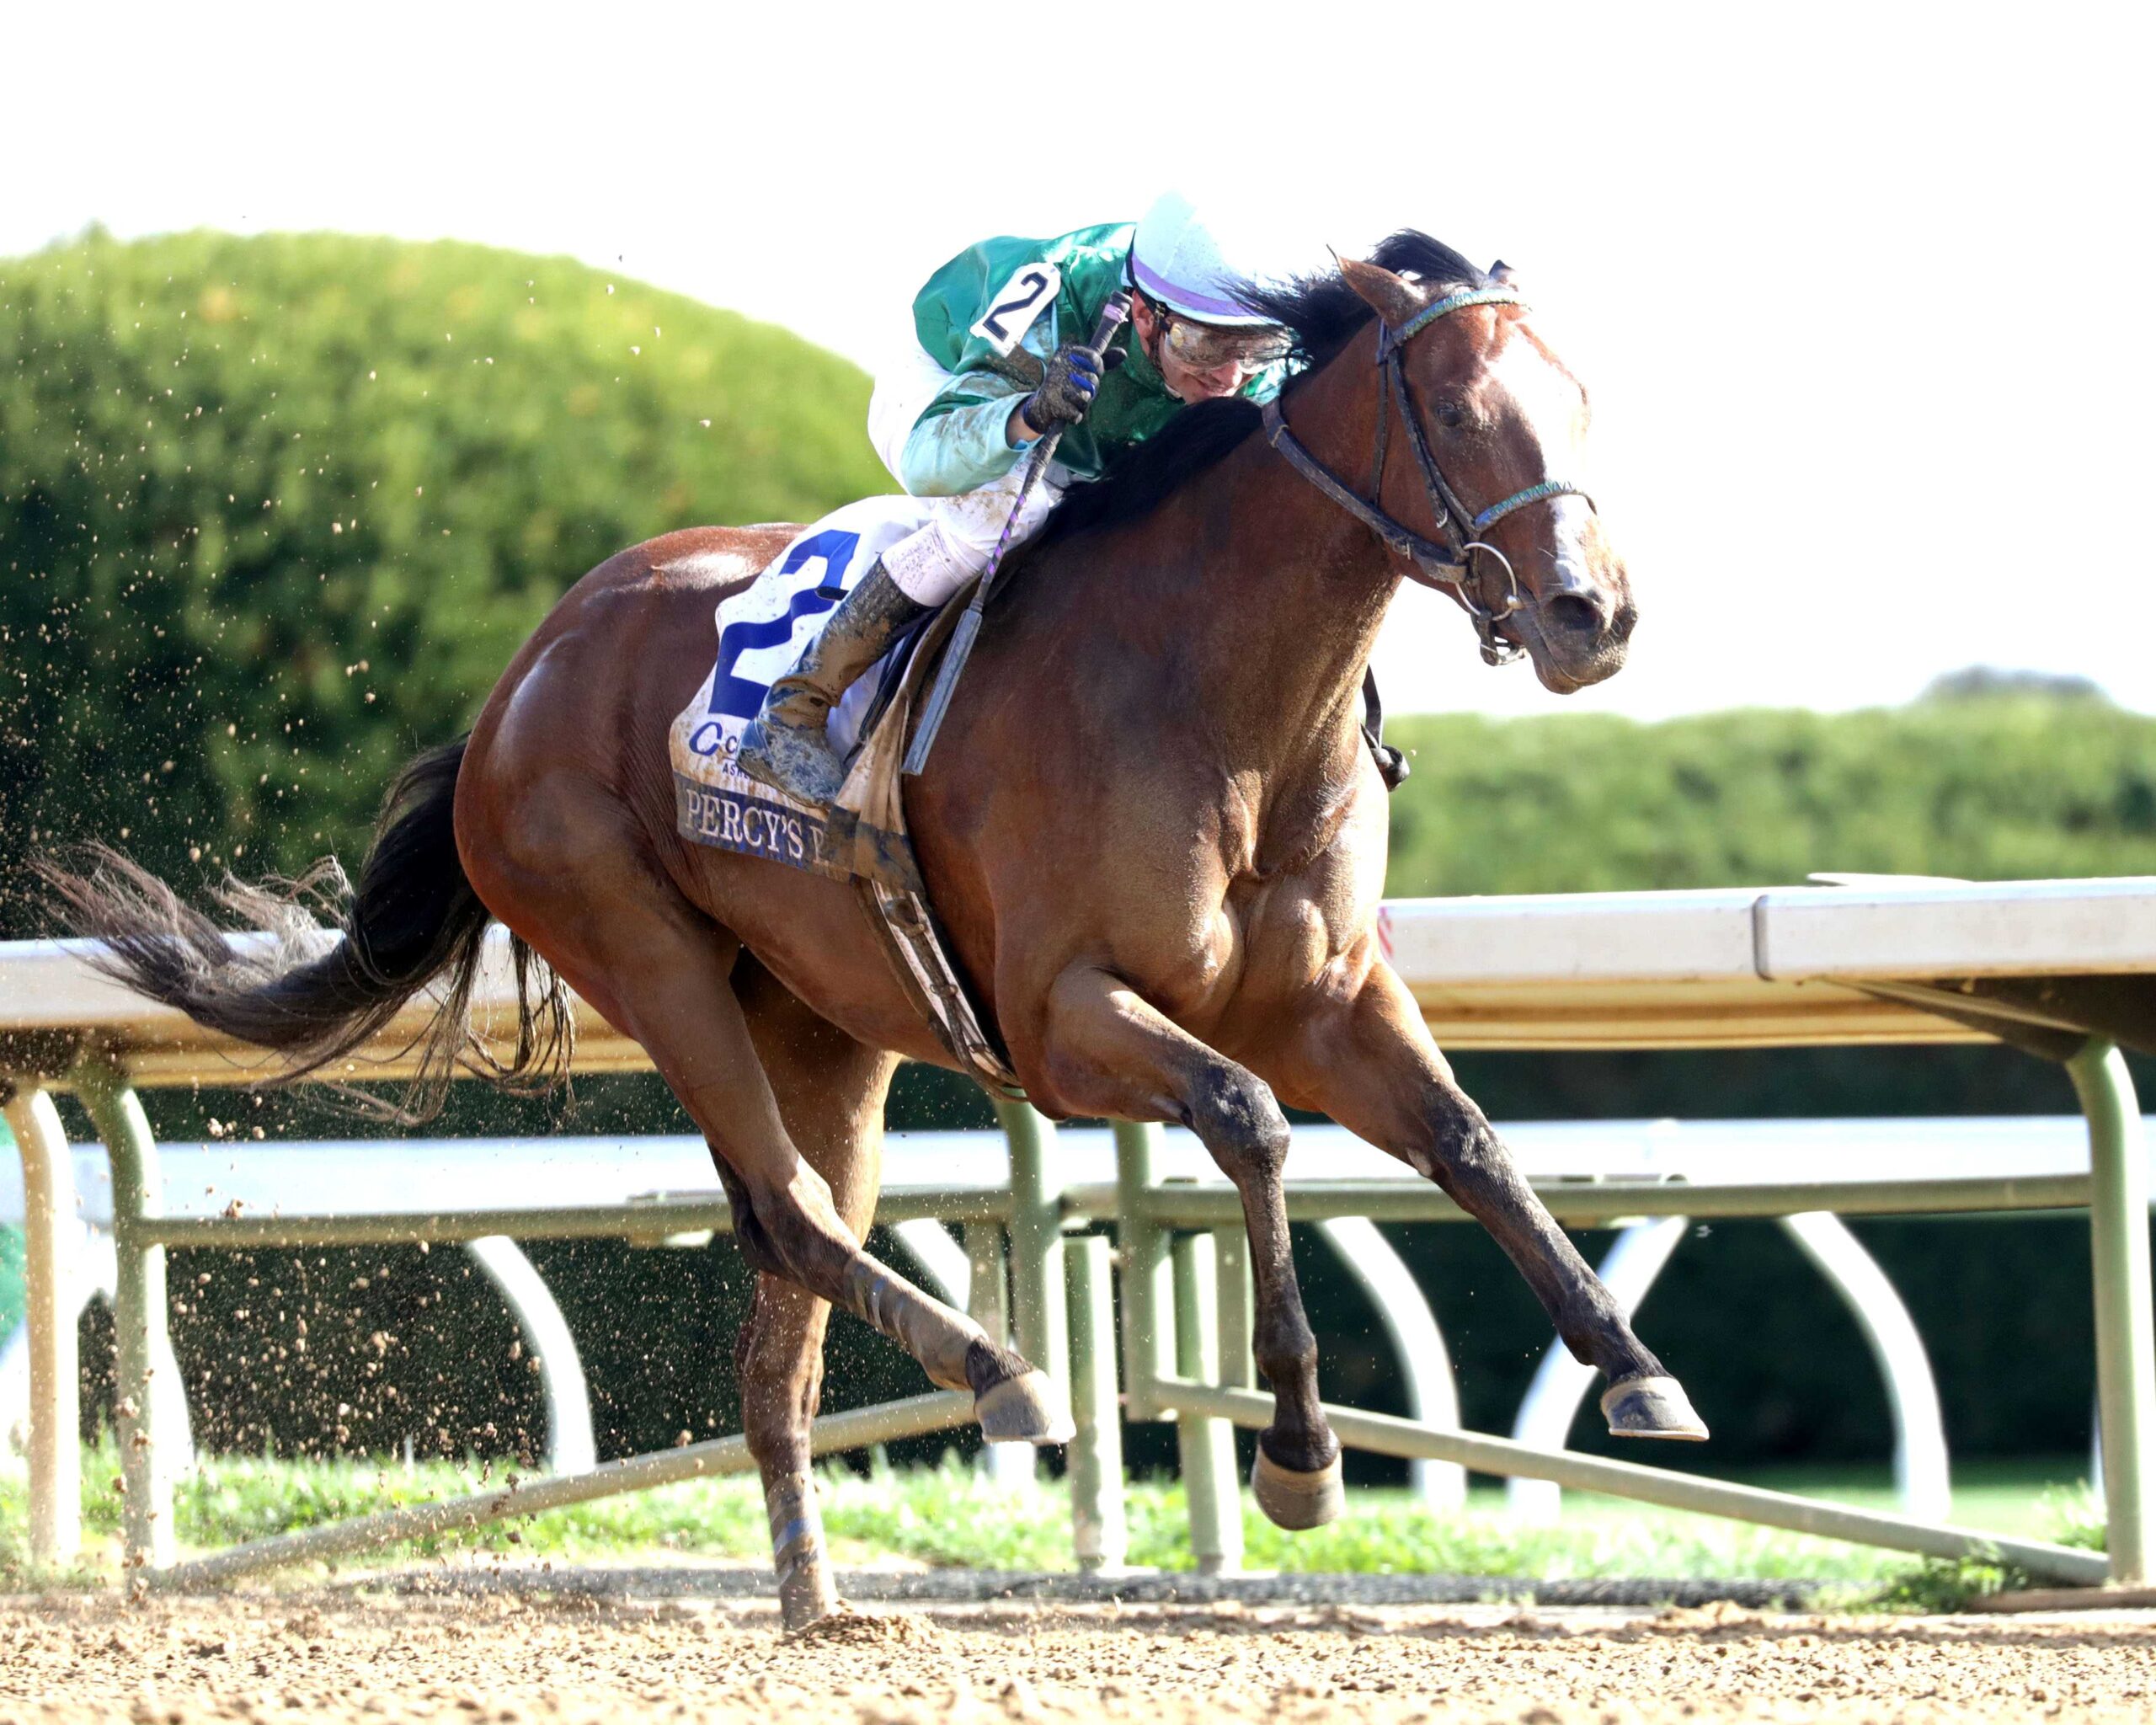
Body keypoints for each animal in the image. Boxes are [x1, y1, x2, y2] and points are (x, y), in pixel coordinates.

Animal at [44, 231, 1701, 1628]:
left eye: (1580, 401)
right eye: (1463, 409)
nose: (1593, 616)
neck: (1217, 695)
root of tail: (522, 673)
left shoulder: (1331, 999)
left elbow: (1470, 1143)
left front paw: (1637, 1375)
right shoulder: (1061, 1015)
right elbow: (1247, 1119)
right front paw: (1298, 1450)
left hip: (822, 1026)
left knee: (788, 1296)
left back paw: (812, 1589)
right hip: (639, 947)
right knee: (790, 1213)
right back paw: (1002, 1375)